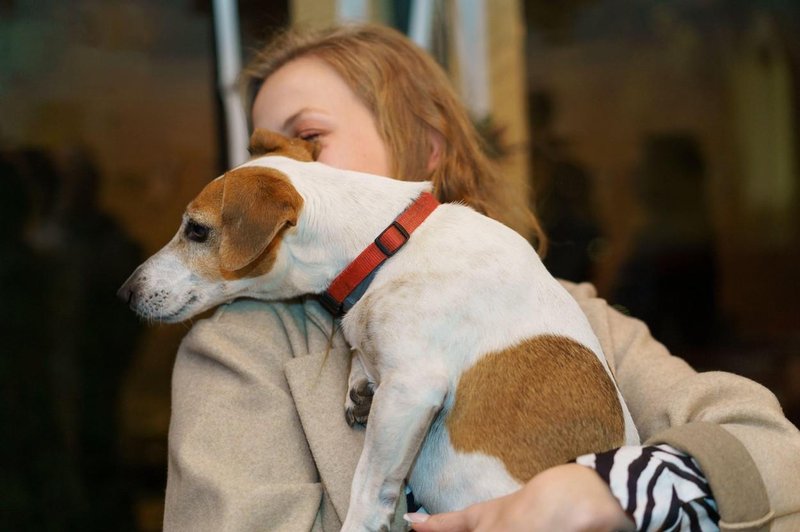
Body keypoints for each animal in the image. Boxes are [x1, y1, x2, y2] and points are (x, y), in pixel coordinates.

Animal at [119, 130, 640, 532]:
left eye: (197, 230)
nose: (124, 293)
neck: (383, 247)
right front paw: (359, 380)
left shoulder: (412, 389)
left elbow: (367, 486)